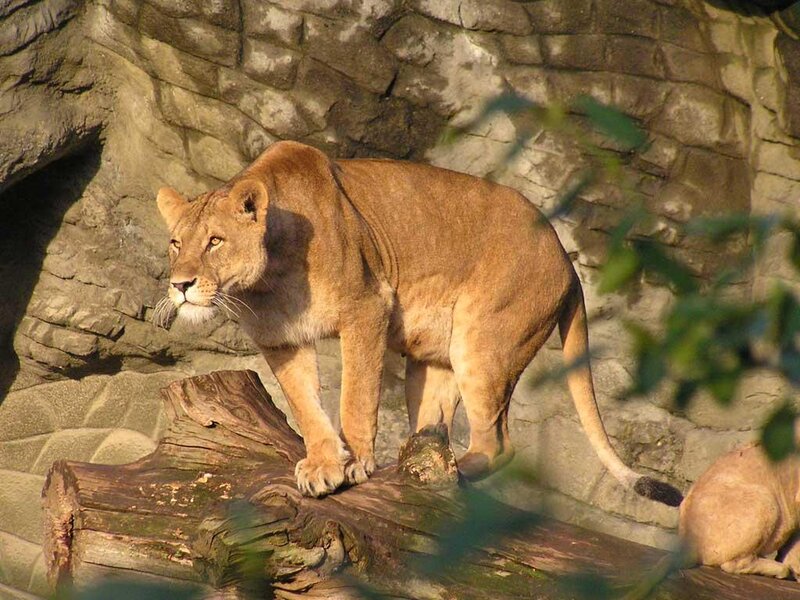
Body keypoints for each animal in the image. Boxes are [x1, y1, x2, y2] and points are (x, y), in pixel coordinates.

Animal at [155, 140, 683, 504]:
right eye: (176, 243)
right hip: (434, 360)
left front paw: (356, 462)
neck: (270, 280)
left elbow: (355, 396)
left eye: (215, 241)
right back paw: (410, 465)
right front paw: (323, 464)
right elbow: (305, 405)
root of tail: (565, 257)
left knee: (498, 444)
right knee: (438, 424)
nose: (180, 284)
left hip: (483, 343)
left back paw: (449, 474)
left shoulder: (367, 306)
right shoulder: (281, 340)